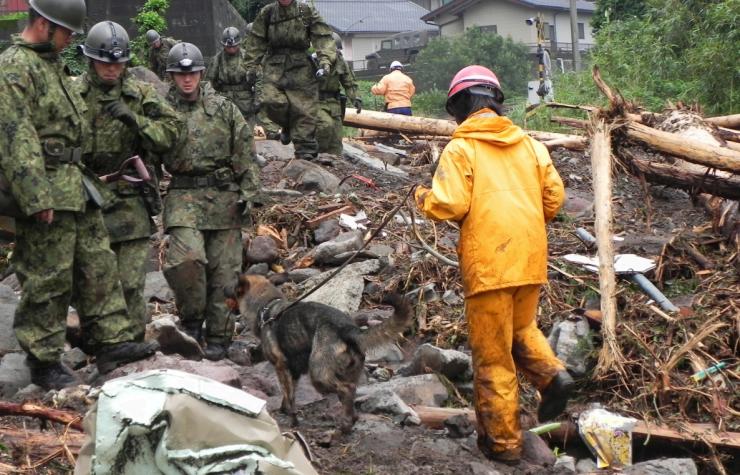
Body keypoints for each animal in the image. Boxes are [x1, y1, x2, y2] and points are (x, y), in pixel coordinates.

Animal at [225, 274, 410, 434]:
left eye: (234, 288)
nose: (223, 294)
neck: (266, 307)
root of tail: (348, 329)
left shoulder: (281, 367)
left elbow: (290, 397)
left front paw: (293, 421)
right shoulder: (293, 372)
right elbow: (289, 395)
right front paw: (285, 410)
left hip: (318, 375)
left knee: (346, 389)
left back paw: (345, 425)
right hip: (349, 372)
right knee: (350, 395)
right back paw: (350, 419)